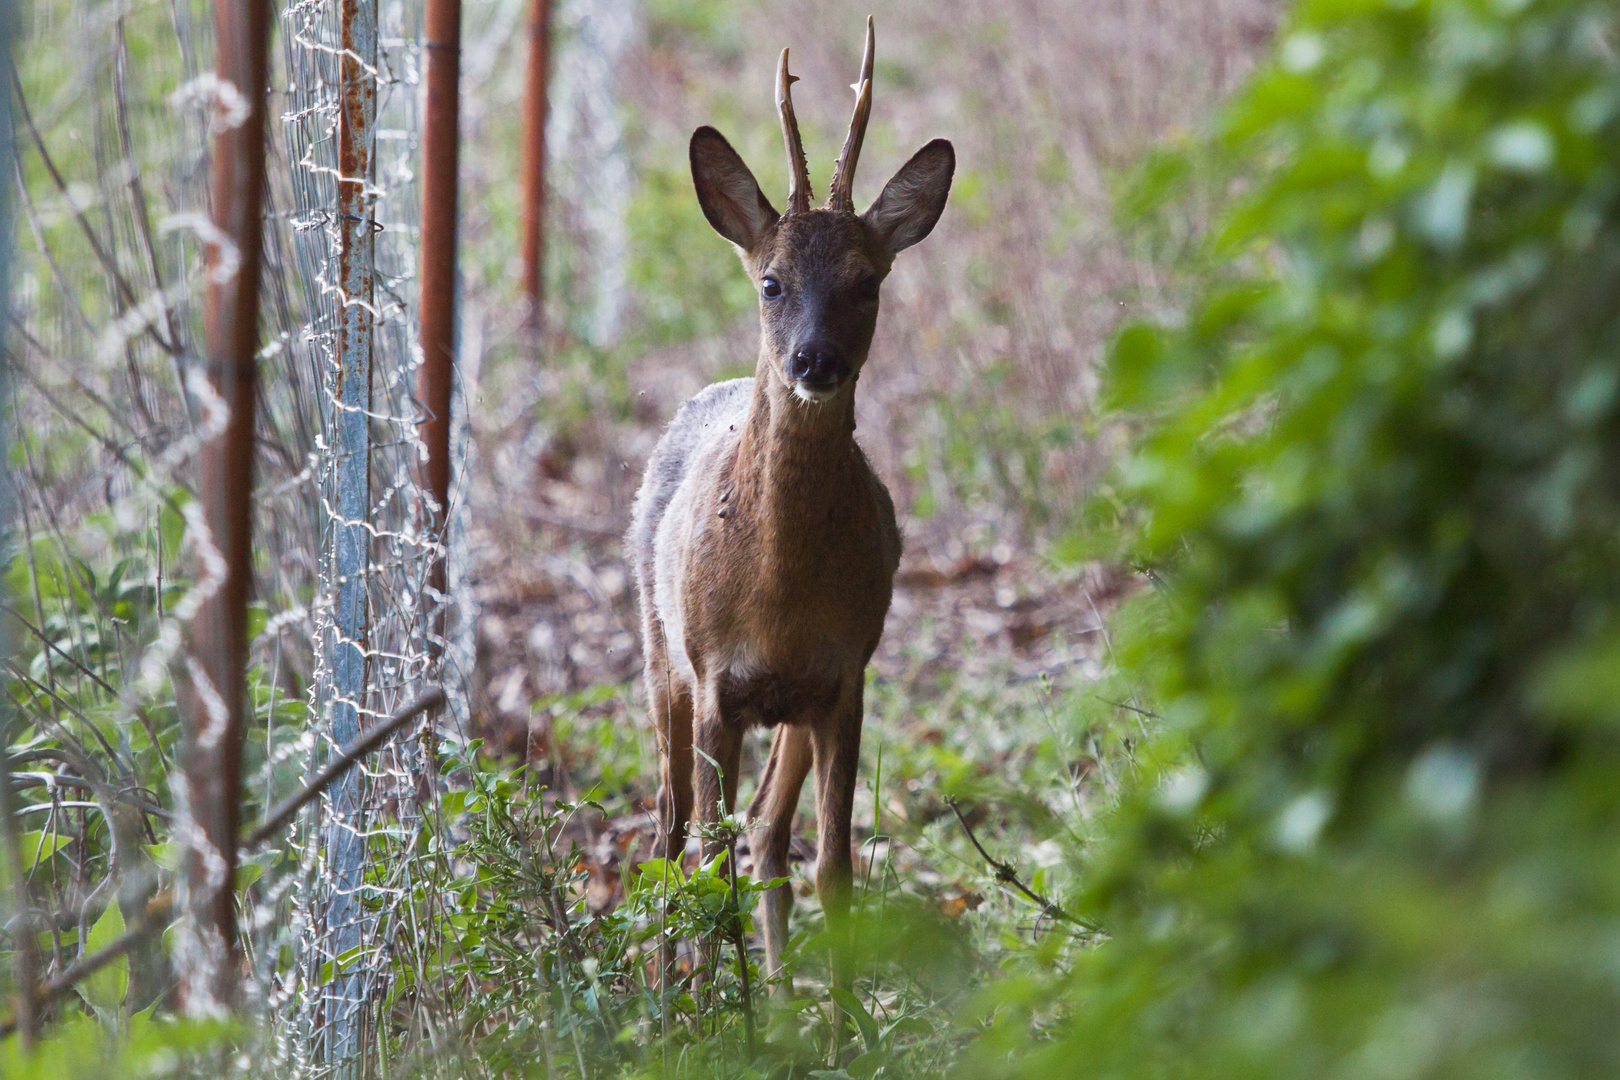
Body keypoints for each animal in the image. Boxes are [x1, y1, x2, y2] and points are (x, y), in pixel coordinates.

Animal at [622, 16, 946, 990]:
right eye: (770, 281)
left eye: (867, 282)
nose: (815, 360)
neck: (777, 596)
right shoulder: (714, 678)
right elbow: (706, 863)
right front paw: (720, 1012)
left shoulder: (845, 674)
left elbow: (833, 866)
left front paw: (834, 1021)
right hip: (659, 656)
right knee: (670, 830)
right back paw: (670, 992)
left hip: (804, 700)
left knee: (767, 831)